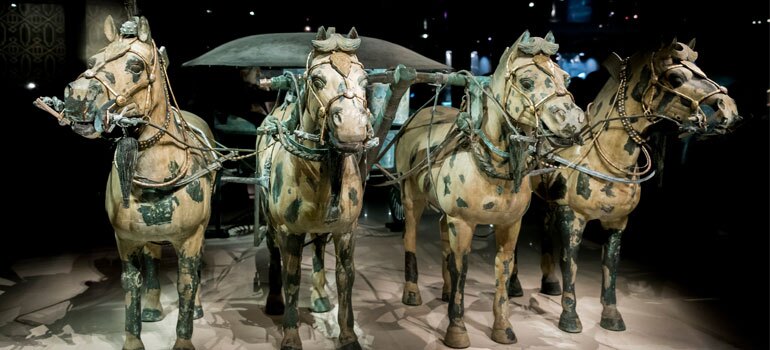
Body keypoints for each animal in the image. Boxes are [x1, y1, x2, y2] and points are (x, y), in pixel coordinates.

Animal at [57, 16, 216, 350]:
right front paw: (133, 340)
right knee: (153, 259)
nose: (77, 97)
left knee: (195, 270)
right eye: (92, 61)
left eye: (135, 66)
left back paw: (196, 307)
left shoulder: (192, 236)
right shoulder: (126, 239)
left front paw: (183, 340)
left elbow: (187, 280)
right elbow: (132, 283)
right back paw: (153, 308)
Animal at [255, 27, 376, 350]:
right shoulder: (289, 232)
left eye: (365, 80)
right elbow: (292, 277)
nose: (351, 128)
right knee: (273, 251)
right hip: (269, 218)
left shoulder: (346, 231)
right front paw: (290, 336)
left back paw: (321, 297)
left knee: (320, 247)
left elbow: (346, 278)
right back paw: (274, 301)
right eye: (318, 80)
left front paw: (348, 336)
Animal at [392, 30, 584, 348]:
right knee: (409, 238)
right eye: (526, 81)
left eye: (566, 78)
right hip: (411, 199)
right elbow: (462, 270)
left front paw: (503, 328)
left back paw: (444, 292)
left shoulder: (510, 225)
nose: (573, 121)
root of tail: (414, 121)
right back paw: (411, 292)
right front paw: (456, 330)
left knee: (443, 239)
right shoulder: (462, 223)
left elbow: (502, 270)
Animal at [508, 38, 740, 334]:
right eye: (676, 78)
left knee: (546, 230)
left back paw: (549, 283)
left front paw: (611, 316)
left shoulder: (617, 222)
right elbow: (570, 263)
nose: (728, 109)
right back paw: (514, 285)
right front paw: (570, 317)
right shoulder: (573, 218)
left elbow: (611, 267)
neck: (603, 158)